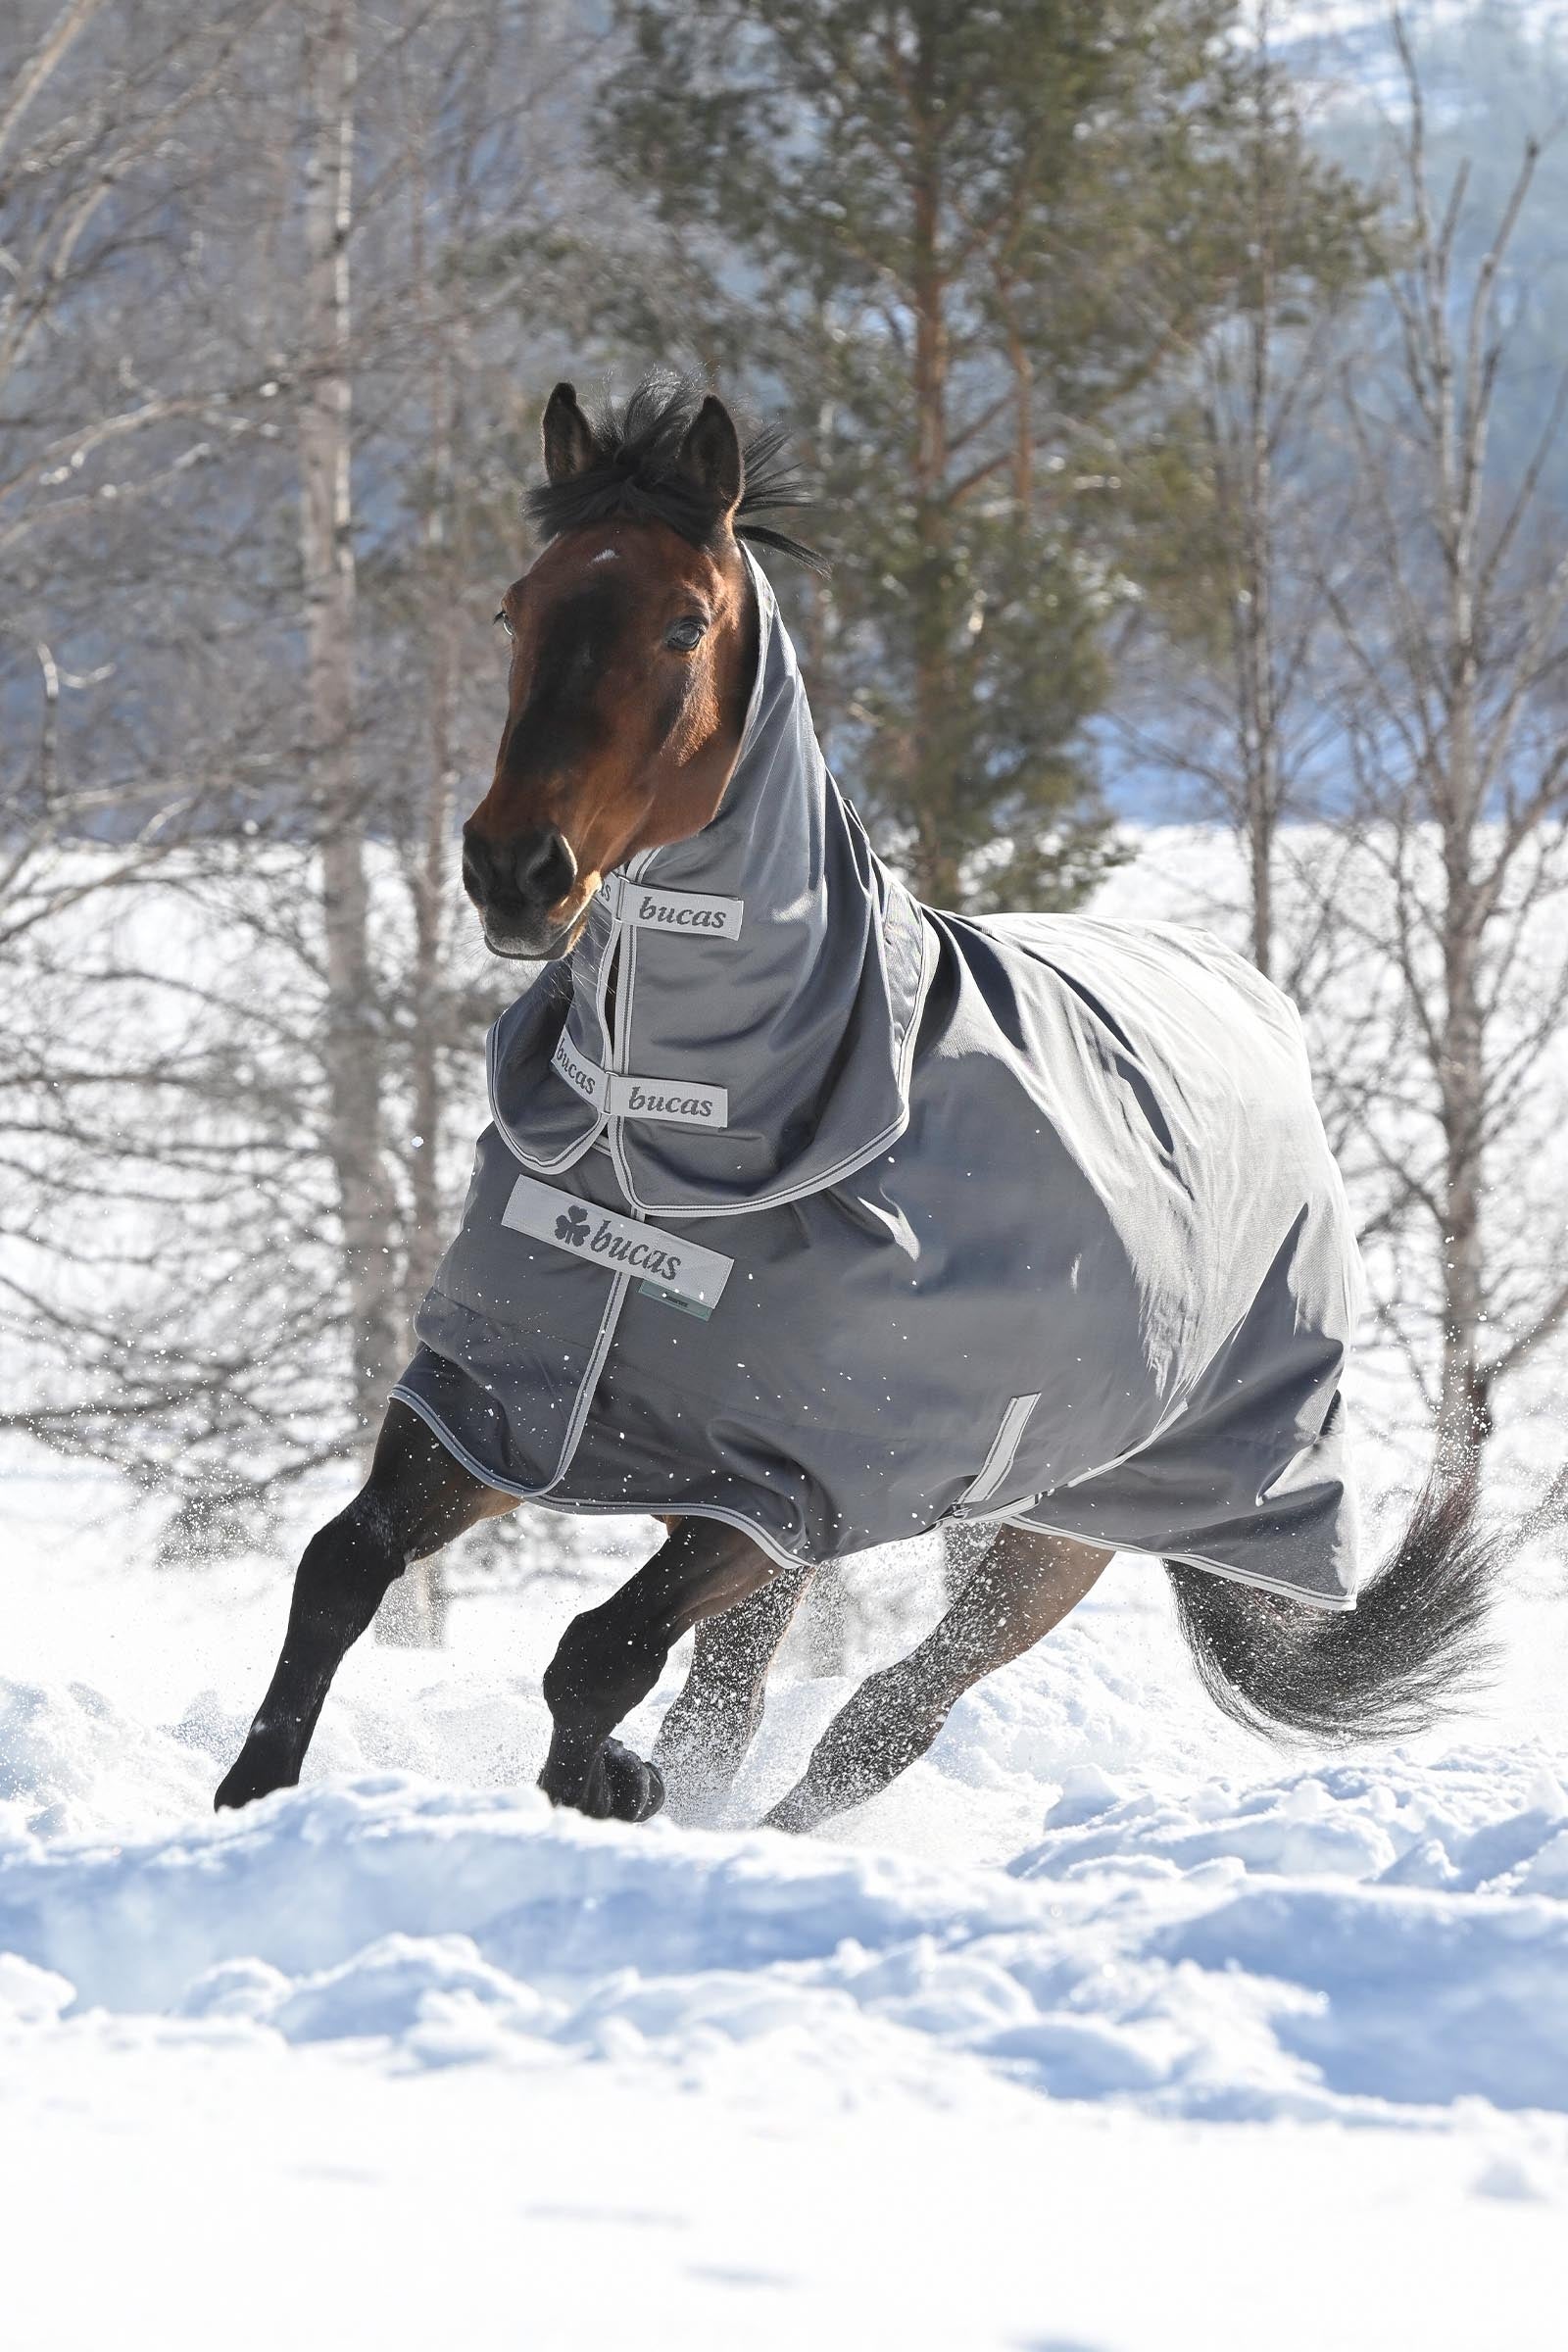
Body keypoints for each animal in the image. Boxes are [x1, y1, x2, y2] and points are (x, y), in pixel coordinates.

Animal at [216, 374, 1495, 1833]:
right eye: (515, 608)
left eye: (683, 620)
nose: (514, 870)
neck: (679, 1143)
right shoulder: (505, 1410)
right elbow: (343, 1565)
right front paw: (250, 1805)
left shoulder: (788, 1487)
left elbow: (595, 1654)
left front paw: (609, 1788)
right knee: (740, 1699)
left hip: (1053, 1534)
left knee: (885, 1716)